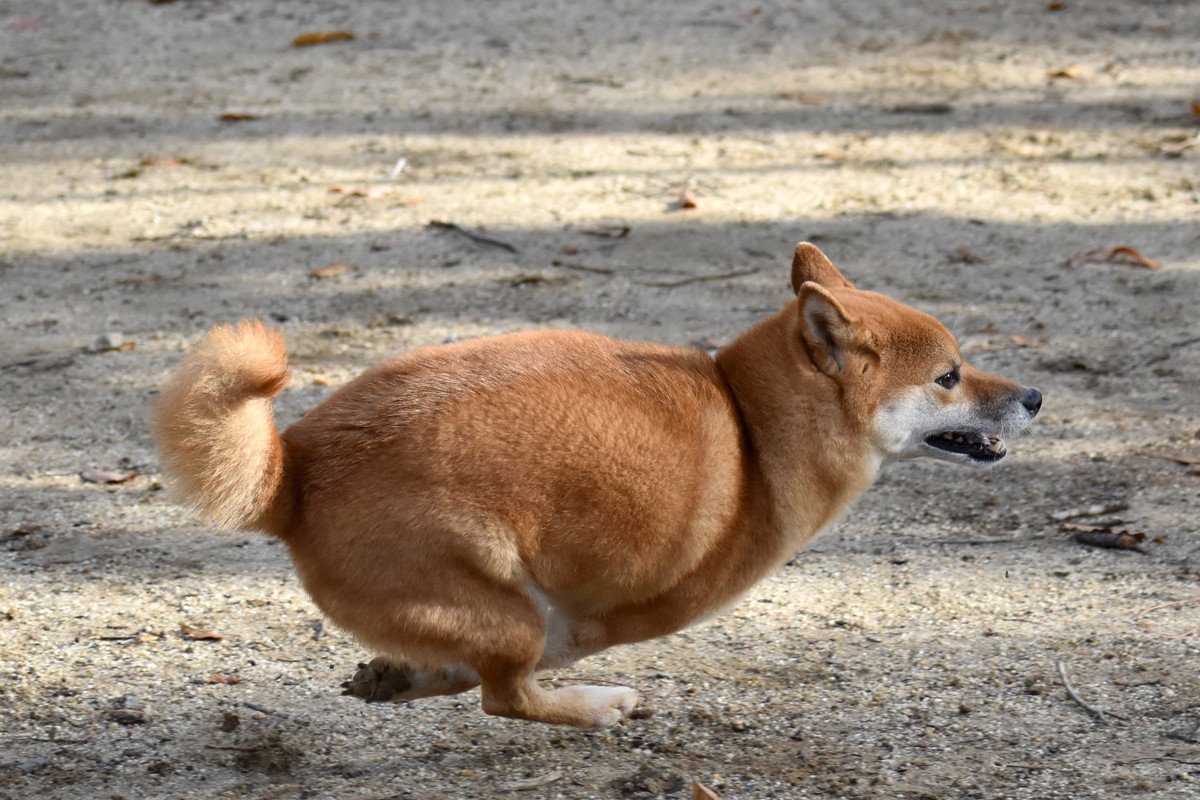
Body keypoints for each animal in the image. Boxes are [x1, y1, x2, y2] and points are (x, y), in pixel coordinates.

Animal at [154, 242, 1041, 724]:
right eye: (949, 376)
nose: (1035, 396)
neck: (754, 423)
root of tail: (296, 468)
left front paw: (398, 677)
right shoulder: (608, 611)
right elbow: (545, 652)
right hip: (503, 605)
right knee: (509, 694)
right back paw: (597, 704)